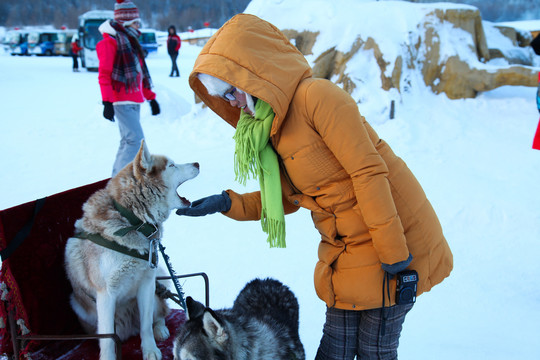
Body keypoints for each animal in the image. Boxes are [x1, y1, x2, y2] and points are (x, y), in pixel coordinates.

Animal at [65, 141, 199, 360]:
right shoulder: (106, 295)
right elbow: (108, 340)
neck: (133, 220)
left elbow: (145, 325)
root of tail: (129, 328)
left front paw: (151, 350)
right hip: (81, 306)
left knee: (159, 314)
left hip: (155, 290)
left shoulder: (146, 283)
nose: (197, 163)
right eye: (172, 165)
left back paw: (160, 329)